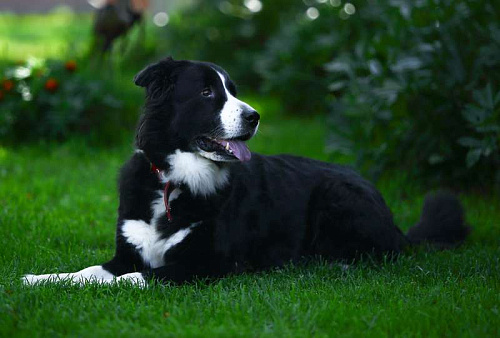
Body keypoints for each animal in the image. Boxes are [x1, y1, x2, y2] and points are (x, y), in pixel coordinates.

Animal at [22, 57, 468, 286]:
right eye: (207, 92)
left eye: (233, 91)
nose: (255, 117)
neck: (175, 180)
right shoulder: (126, 251)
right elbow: (88, 272)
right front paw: (37, 280)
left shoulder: (205, 264)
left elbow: (136, 278)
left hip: (337, 196)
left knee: (381, 253)